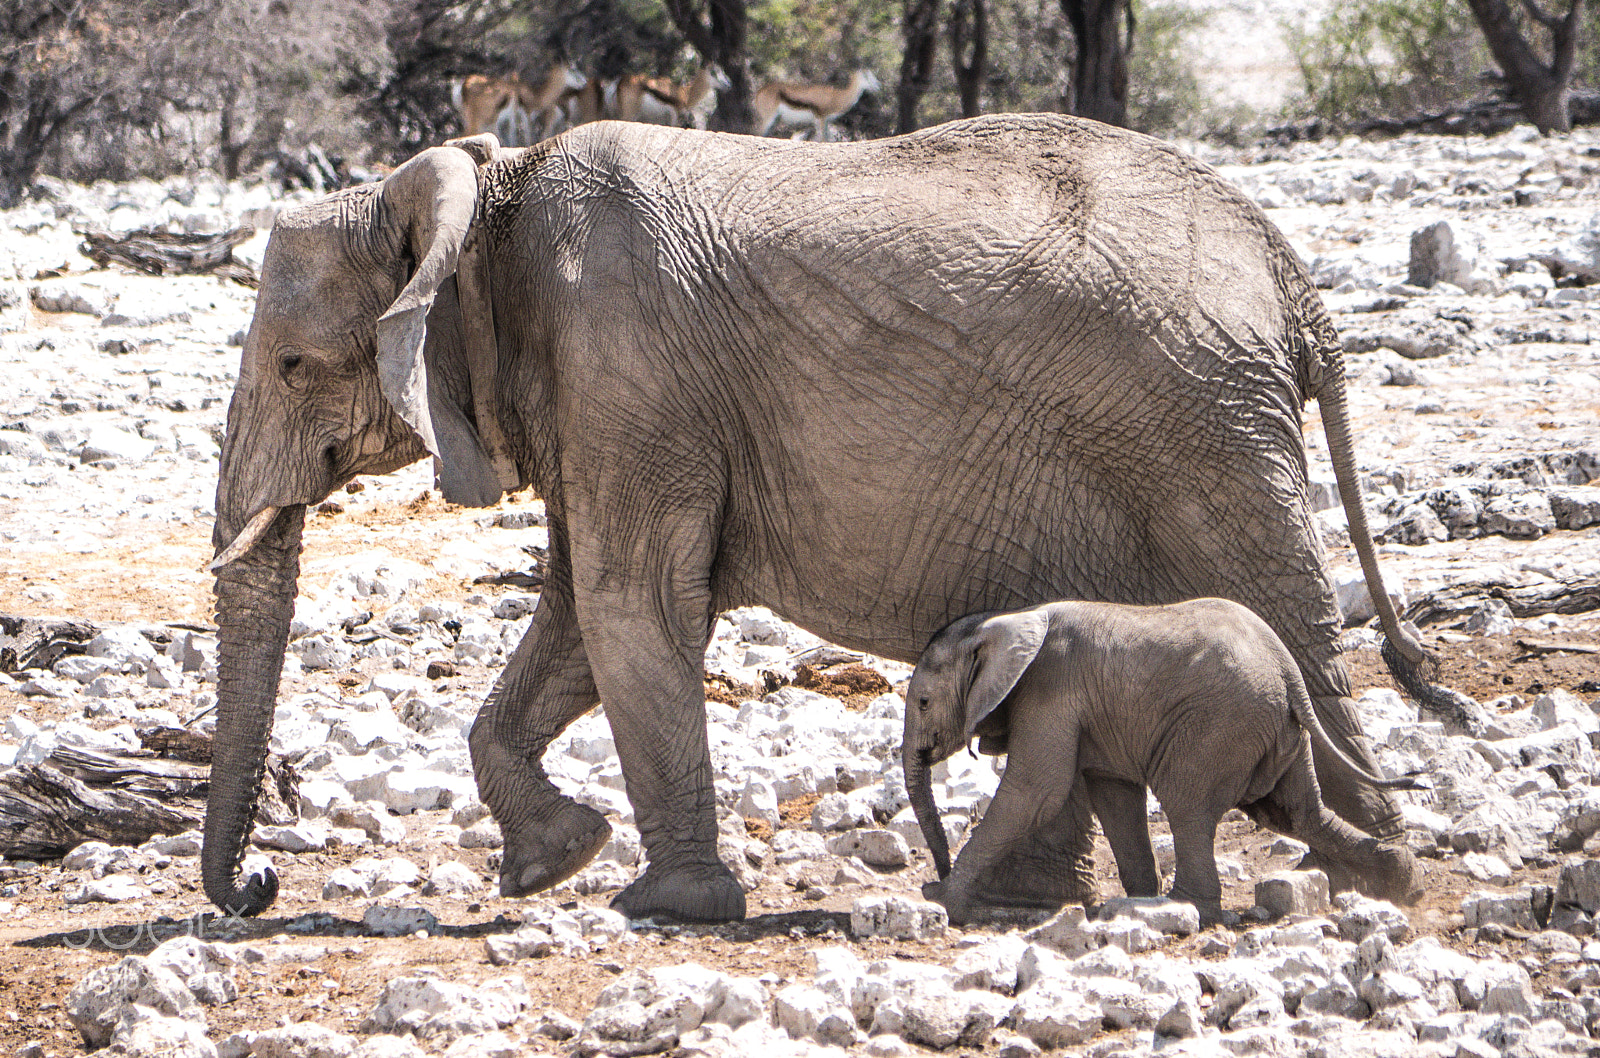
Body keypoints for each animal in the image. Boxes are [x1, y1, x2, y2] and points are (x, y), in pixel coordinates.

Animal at [902, 598, 1423, 926]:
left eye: (924, 703)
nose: (937, 873)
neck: (1006, 620)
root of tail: (1287, 668)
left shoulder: (1049, 691)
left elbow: (1036, 792)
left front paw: (941, 900)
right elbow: (1113, 795)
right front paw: (1134, 895)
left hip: (1218, 725)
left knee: (1189, 805)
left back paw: (1181, 909)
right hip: (1282, 733)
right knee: (1296, 812)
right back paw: (1403, 879)